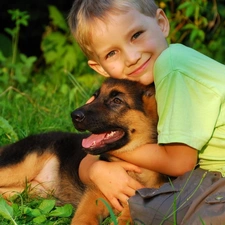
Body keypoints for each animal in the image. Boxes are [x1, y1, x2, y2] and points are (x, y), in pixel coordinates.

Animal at [0, 78, 165, 224]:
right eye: (95, 96)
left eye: (117, 101)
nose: (74, 116)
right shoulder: (96, 194)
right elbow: (84, 219)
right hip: (20, 167)